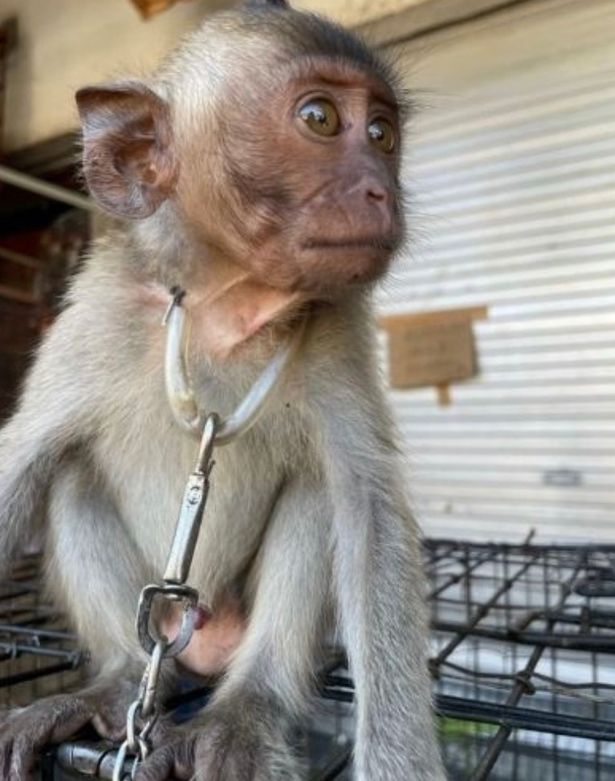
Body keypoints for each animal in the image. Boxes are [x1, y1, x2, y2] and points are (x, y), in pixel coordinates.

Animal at [0, 0, 446, 776]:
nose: (382, 191)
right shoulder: (98, 314)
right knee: (73, 475)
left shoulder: (338, 330)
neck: (229, 308)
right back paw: (121, 679)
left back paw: (247, 704)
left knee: (316, 492)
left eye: (383, 135)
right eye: (321, 118)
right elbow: (23, 460)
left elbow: (369, 508)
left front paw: (399, 760)